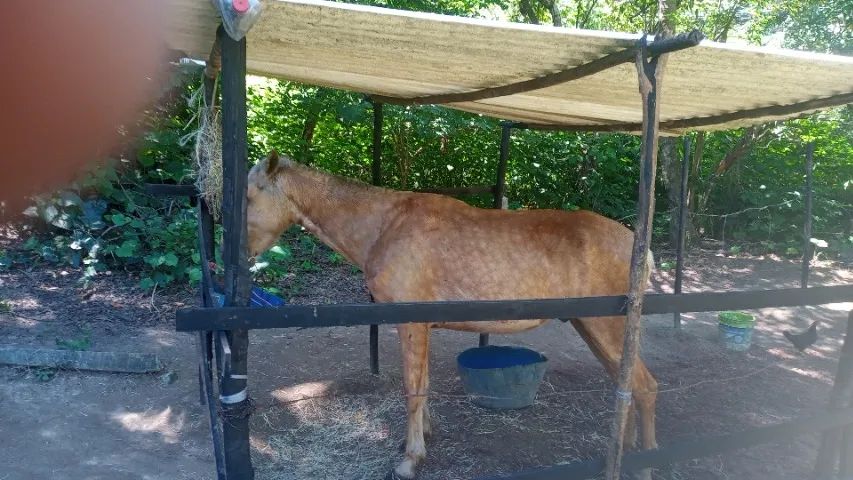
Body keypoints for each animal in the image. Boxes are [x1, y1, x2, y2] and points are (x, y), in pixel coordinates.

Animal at [246, 150, 658, 479]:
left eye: (250, 195)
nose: (240, 251)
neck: (386, 225)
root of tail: (641, 248)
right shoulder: (423, 327)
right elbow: (423, 384)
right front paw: (421, 438)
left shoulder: (411, 325)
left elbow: (412, 389)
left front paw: (410, 460)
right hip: (594, 329)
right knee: (627, 386)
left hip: (608, 329)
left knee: (645, 387)